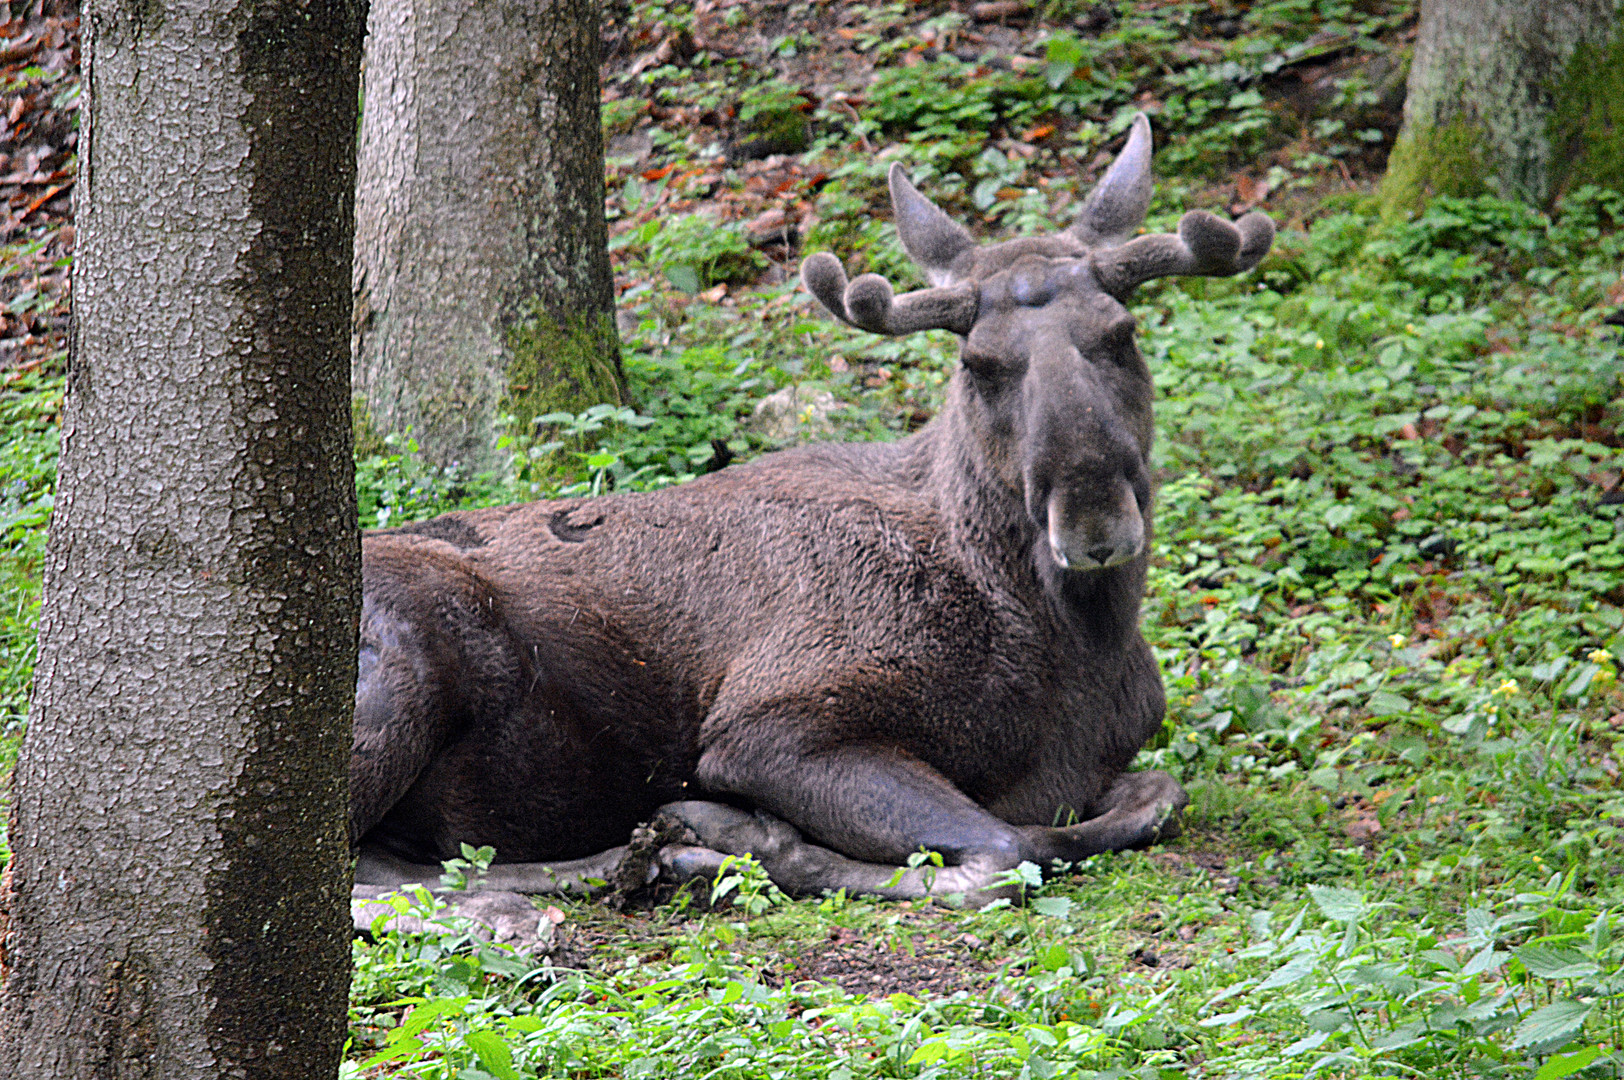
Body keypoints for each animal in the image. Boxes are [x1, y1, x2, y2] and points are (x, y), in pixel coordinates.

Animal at [349, 116, 1273, 928]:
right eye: (979, 364)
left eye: (1121, 333)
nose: (1091, 516)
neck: (1067, 648)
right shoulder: (769, 727)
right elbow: (1007, 850)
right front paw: (742, 836)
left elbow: (1156, 796)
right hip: (403, 669)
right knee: (359, 873)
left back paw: (634, 860)